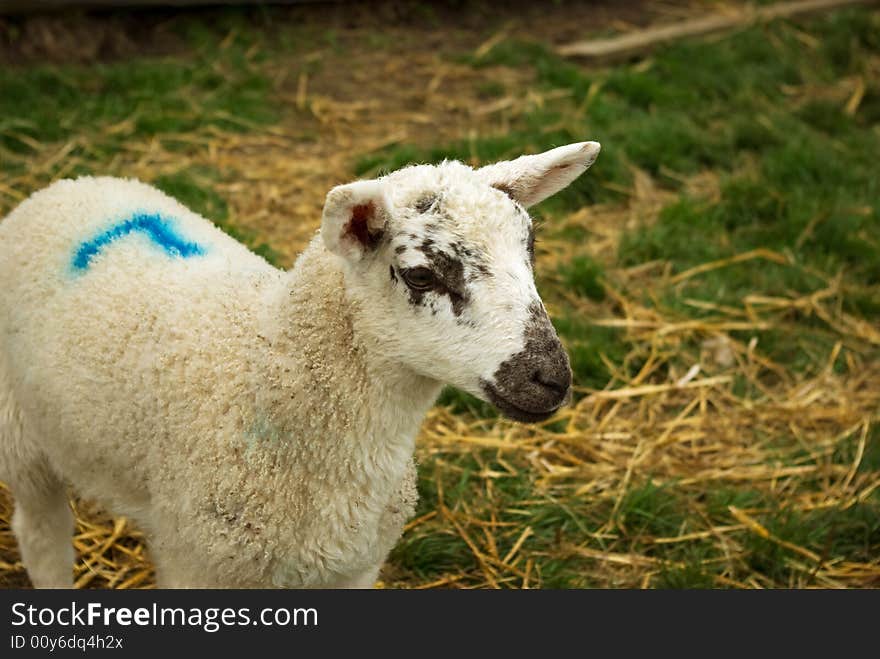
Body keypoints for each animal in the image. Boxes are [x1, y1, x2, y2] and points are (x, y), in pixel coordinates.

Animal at [0, 142, 600, 592]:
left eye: (529, 248)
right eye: (421, 275)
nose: (552, 377)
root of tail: (69, 183)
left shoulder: (355, 567)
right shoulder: (197, 562)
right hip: (21, 435)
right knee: (42, 534)